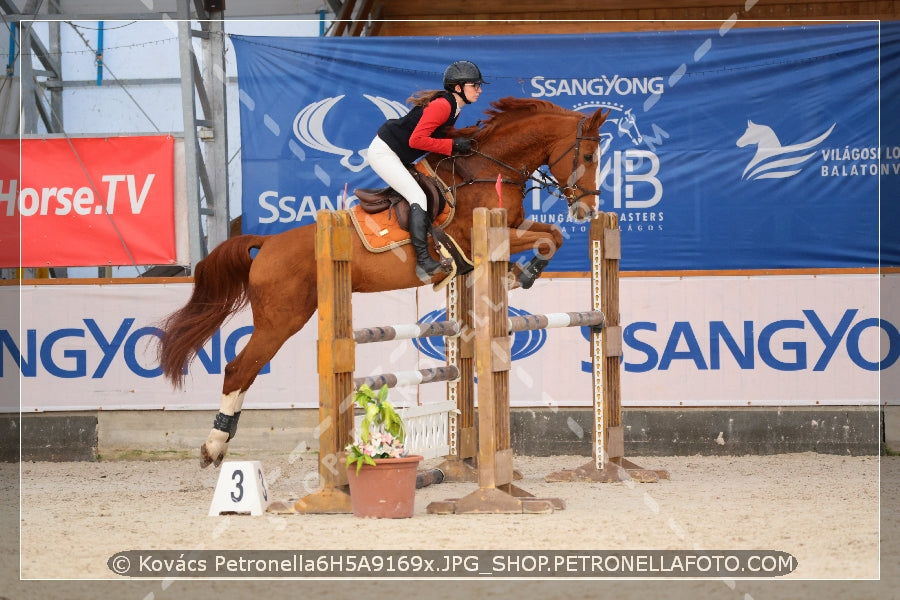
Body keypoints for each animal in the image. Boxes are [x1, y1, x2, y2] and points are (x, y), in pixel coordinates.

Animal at [158, 96, 608, 466]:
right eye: (587, 154)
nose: (587, 211)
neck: (488, 168)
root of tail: (267, 243)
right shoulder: (485, 236)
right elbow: (549, 238)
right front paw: (521, 275)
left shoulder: (508, 231)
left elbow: (552, 235)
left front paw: (520, 274)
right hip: (281, 318)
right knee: (239, 369)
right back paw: (214, 446)